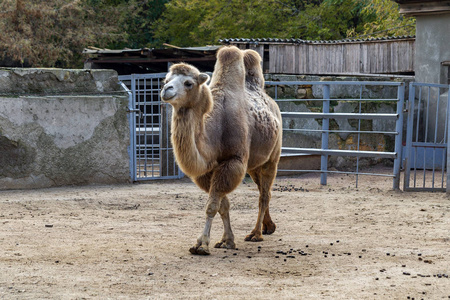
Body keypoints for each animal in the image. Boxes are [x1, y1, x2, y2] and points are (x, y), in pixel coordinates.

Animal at [162, 45, 282, 254]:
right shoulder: (209, 169)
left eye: (188, 83)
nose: (166, 90)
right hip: (253, 165)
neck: (214, 131)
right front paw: (227, 240)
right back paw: (268, 227)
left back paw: (255, 234)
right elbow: (222, 205)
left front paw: (201, 244)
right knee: (262, 188)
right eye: (167, 80)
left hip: (272, 157)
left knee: (264, 195)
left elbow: (212, 206)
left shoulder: (233, 160)